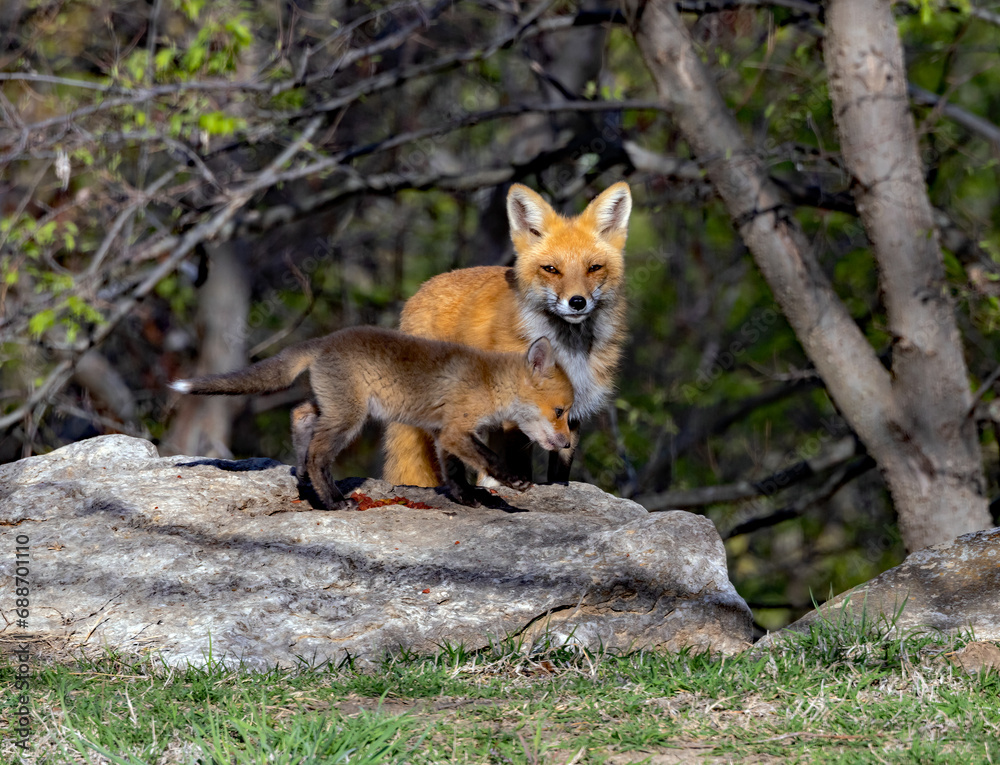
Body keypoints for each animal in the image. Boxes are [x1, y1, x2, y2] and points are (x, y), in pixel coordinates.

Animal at [169, 326, 573, 510]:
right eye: (560, 411)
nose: (569, 443)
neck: (490, 383)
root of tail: (326, 339)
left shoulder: (444, 433)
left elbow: (454, 471)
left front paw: (466, 497)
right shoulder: (456, 430)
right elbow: (488, 458)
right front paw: (515, 482)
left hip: (330, 406)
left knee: (300, 416)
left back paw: (304, 482)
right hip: (350, 418)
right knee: (318, 454)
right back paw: (333, 500)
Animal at [383, 181, 631, 488]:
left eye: (594, 268)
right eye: (551, 269)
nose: (577, 302)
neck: (567, 351)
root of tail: (421, 289)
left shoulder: (572, 413)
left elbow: (560, 469)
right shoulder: (516, 412)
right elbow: (518, 461)